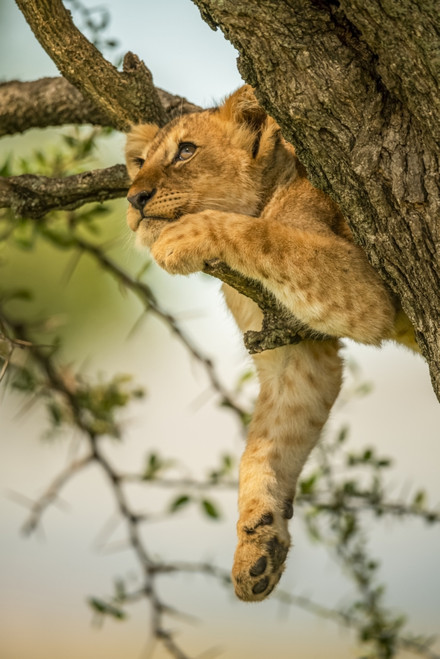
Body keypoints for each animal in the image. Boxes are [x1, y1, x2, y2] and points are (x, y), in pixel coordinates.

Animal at [124, 85, 417, 602]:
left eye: (186, 150)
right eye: (139, 163)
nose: (134, 198)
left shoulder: (365, 287)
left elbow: (265, 235)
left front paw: (183, 237)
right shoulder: (294, 359)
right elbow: (263, 447)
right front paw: (257, 546)